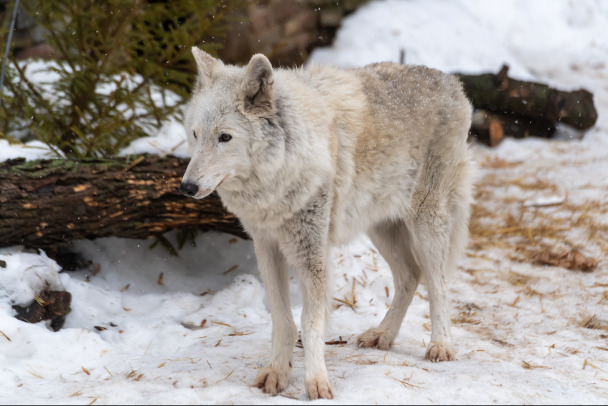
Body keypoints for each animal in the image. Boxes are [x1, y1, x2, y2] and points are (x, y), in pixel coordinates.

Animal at [180, 48, 476, 400]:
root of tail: (452, 82)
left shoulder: (312, 253)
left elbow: (310, 321)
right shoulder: (266, 246)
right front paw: (277, 372)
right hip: (381, 227)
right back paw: (383, 335)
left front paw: (317, 382)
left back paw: (440, 345)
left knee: (438, 283)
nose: (186, 187)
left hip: (426, 222)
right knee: (410, 276)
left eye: (225, 137)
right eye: (195, 134)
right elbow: (282, 318)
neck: (279, 174)